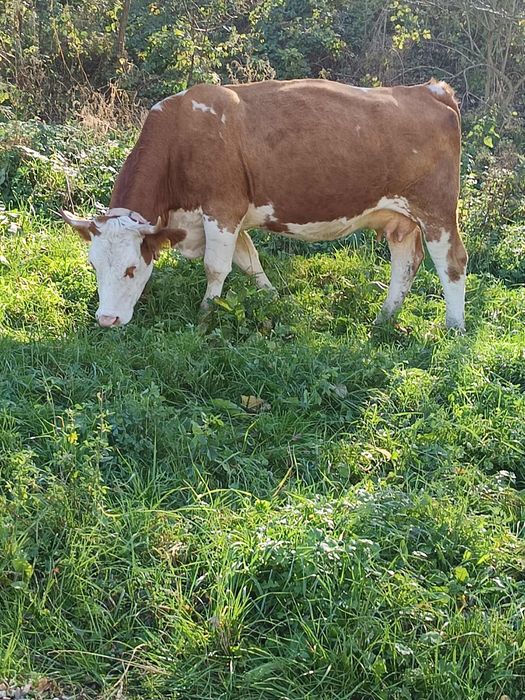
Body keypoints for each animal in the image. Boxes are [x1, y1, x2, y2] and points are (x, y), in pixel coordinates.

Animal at [61, 78, 467, 329]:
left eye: (131, 269)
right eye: (94, 266)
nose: (107, 320)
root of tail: (430, 89)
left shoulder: (222, 209)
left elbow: (216, 268)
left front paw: (206, 314)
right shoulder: (231, 218)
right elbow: (250, 262)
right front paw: (273, 300)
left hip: (436, 210)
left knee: (451, 262)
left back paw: (454, 327)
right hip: (400, 218)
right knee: (406, 263)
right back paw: (384, 319)